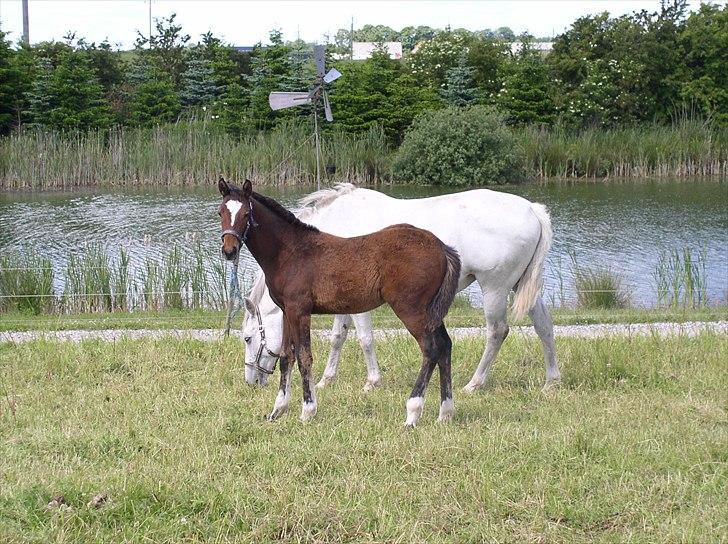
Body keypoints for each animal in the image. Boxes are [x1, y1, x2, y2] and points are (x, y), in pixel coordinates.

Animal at [218, 178, 460, 424]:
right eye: (221, 213)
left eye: (246, 214)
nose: (229, 250)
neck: (290, 251)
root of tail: (440, 247)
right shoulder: (287, 312)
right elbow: (287, 357)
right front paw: (278, 408)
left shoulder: (300, 311)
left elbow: (304, 357)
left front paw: (308, 410)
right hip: (431, 312)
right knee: (445, 345)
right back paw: (445, 412)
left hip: (411, 310)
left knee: (431, 349)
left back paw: (412, 412)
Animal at [242, 183, 560, 392]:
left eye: (246, 338)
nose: (252, 381)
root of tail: (532, 209)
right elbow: (338, 337)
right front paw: (326, 380)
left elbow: (364, 339)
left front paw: (371, 382)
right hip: (522, 287)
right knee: (544, 325)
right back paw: (551, 381)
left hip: (494, 288)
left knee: (497, 332)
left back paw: (474, 383)